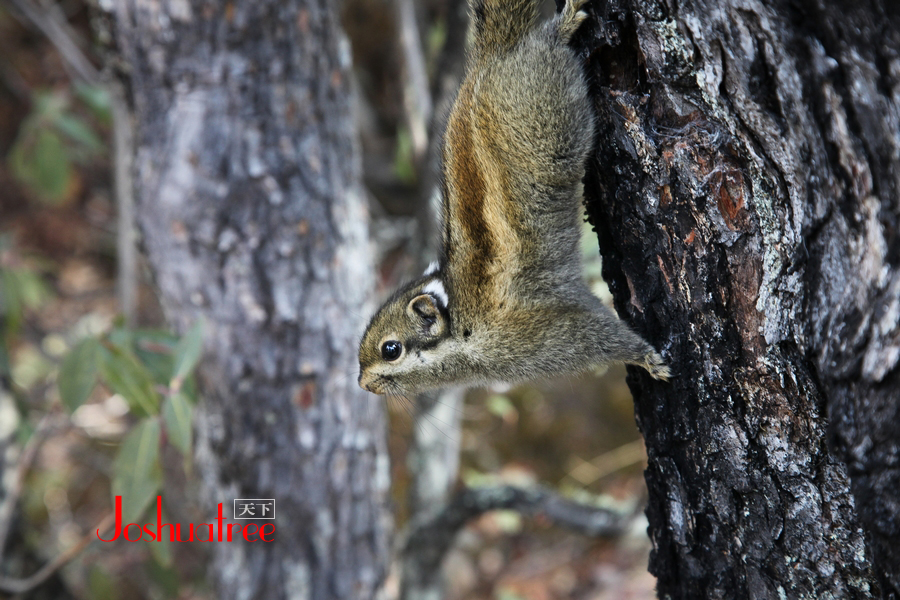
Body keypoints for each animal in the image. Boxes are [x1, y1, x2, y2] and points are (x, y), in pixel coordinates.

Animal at [358, 0, 668, 396]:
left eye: (391, 349)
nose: (363, 383)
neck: (462, 328)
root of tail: (493, 54)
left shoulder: (552, 332)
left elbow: (605, 336)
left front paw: (648, 358)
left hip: (552, 112)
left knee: (547, 45)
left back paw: (562, 25)